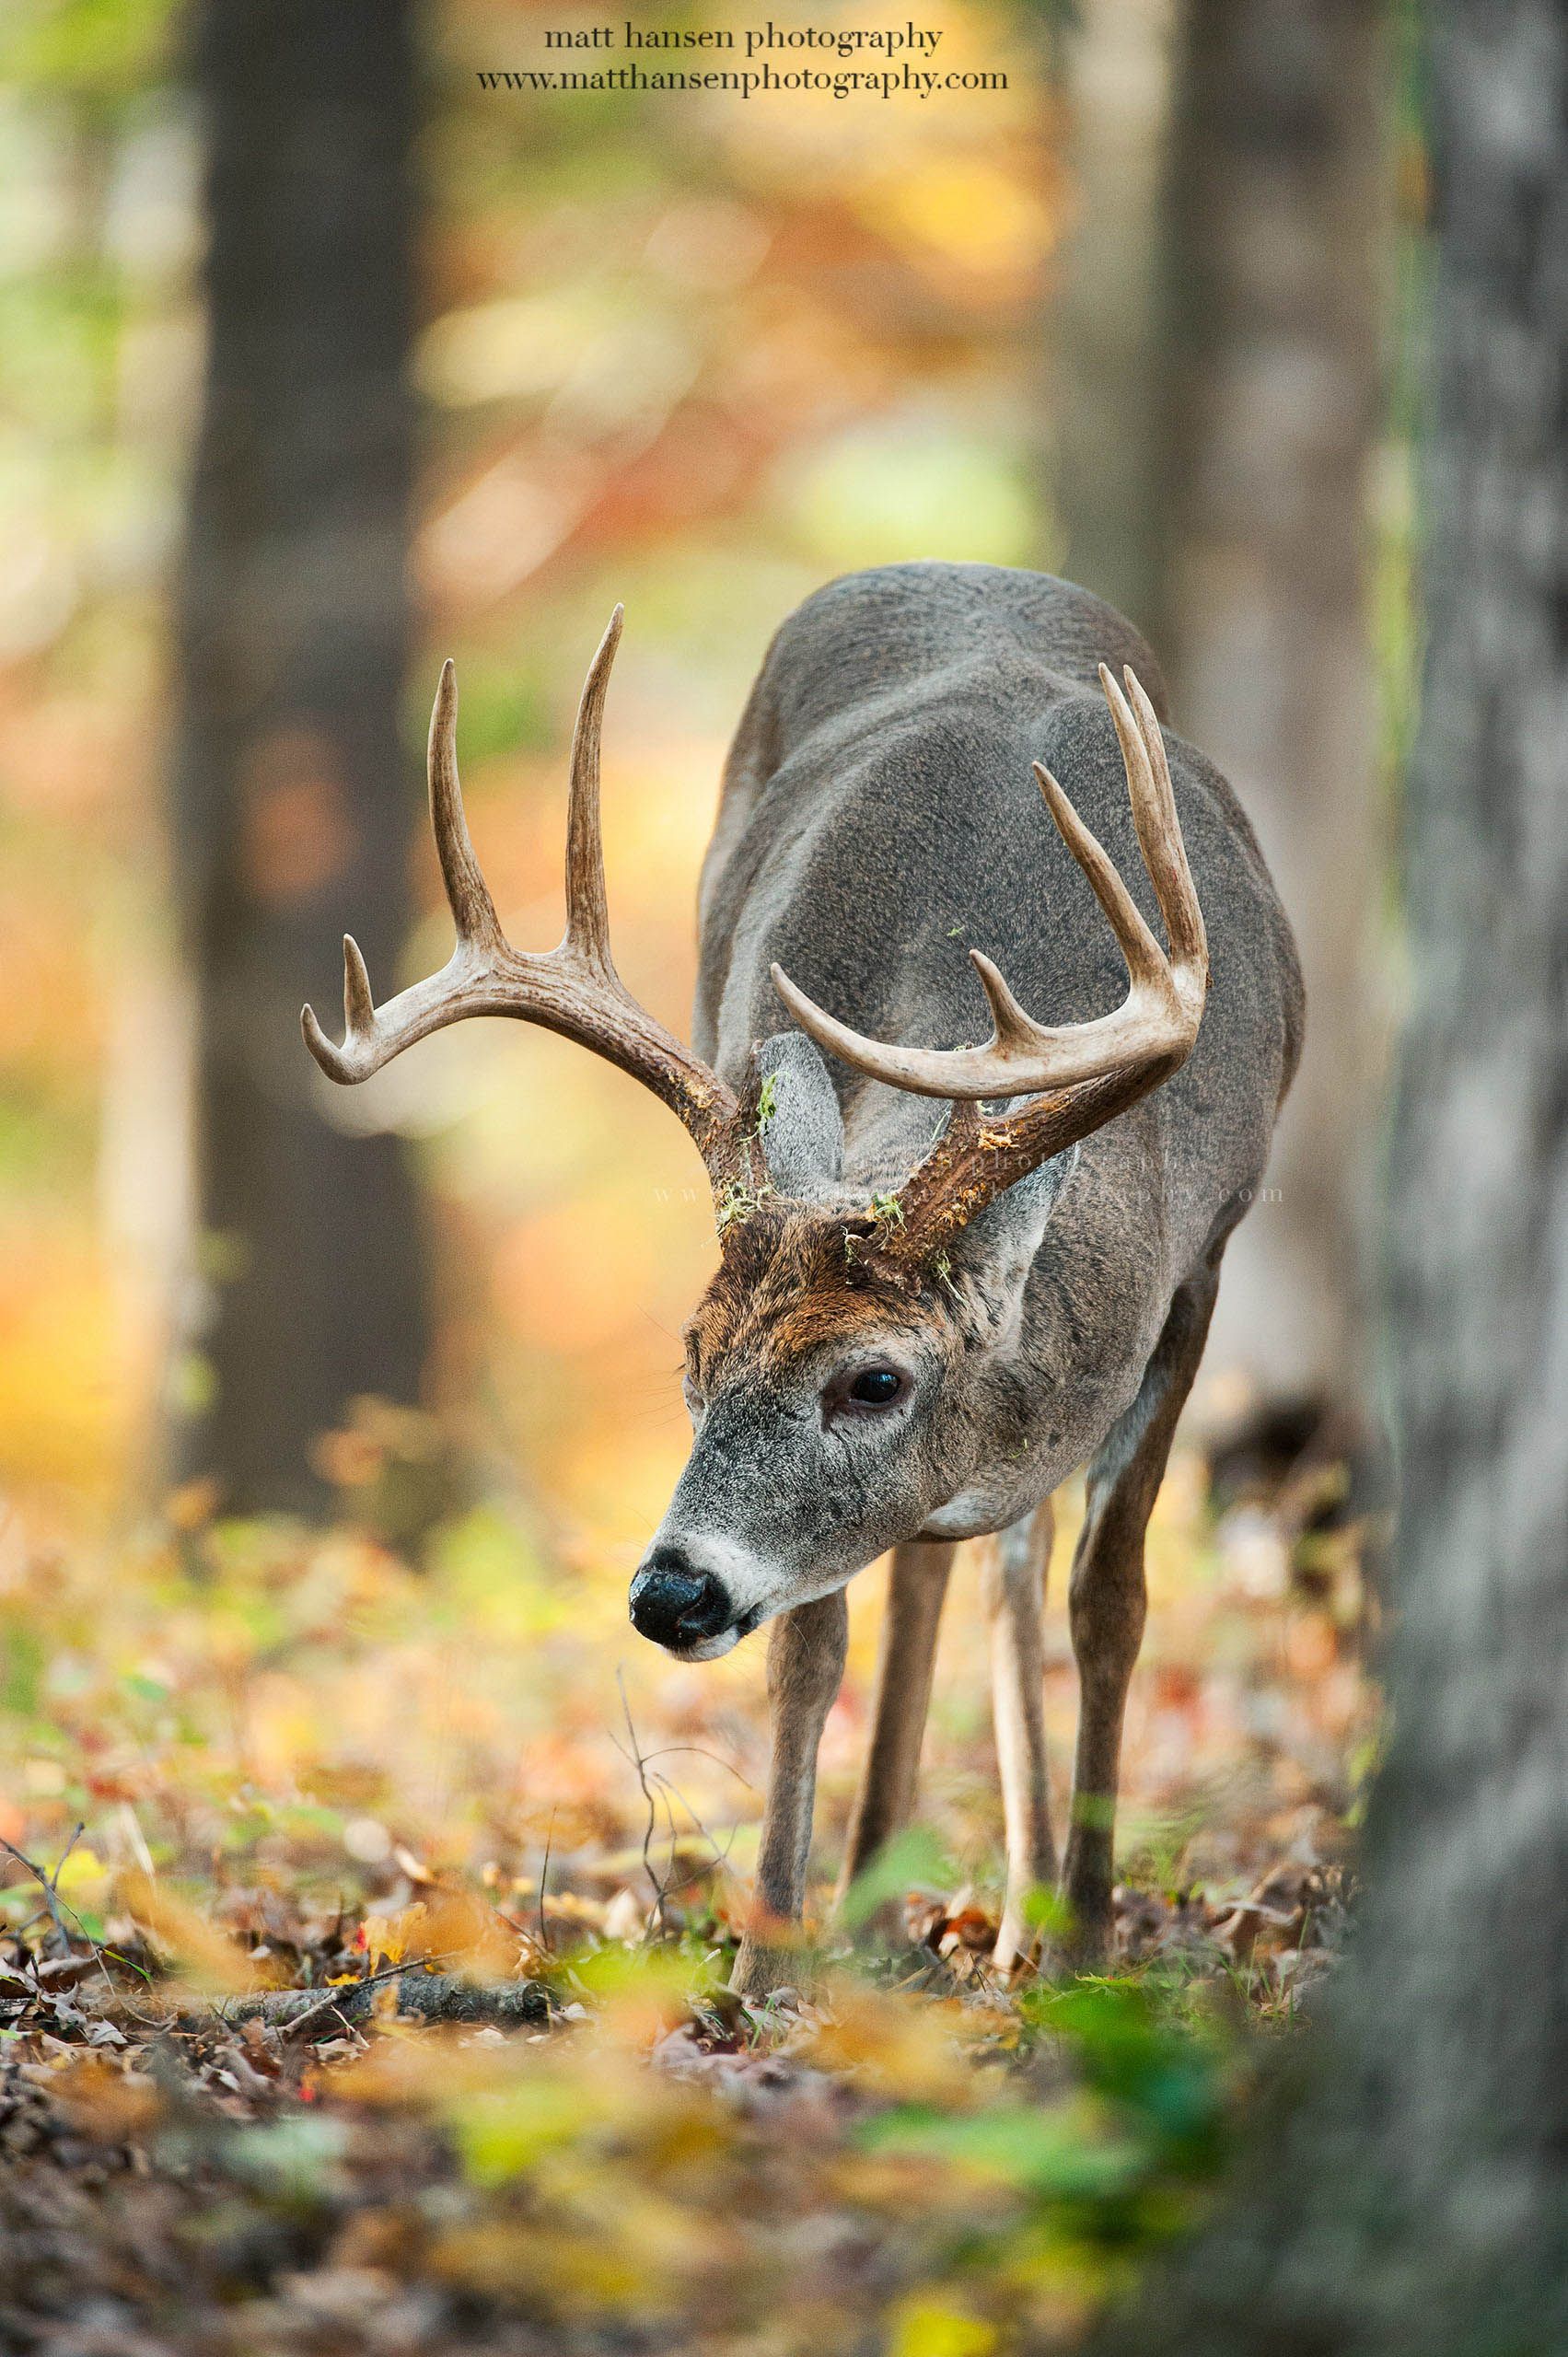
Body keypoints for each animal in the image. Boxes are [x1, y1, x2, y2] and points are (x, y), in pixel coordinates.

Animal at [303, 563, 1302, 1994]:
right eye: (692, 1357)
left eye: (871, 1379)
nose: (671, 1592)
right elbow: (813, 1638)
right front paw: (769, 1957)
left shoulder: (1203, 1261)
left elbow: (1109, 1597)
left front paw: (1087, 1944)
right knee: (942, 1569)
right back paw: (888, 1887)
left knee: (1003, 1562)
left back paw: (1018, 1913)